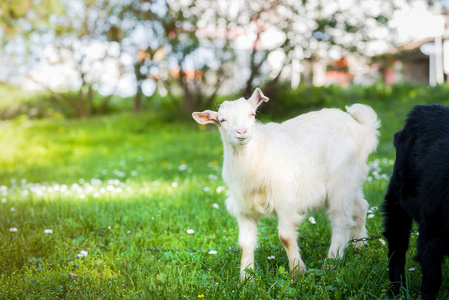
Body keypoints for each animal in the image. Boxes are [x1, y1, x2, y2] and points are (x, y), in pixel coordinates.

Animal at [192, 88, 378, 278]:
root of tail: (363, 130)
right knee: (361, 206)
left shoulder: (285, 200)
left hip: (341, 181)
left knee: (341, 221)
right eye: (222, 120)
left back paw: (331, 263)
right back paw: (359, 246)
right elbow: (245, 244)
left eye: (252, 114)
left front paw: (297, 272)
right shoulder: (245, 208)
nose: (242, 132)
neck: (258, 153)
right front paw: (246, 278)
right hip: (352, 181)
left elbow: (286, 237)